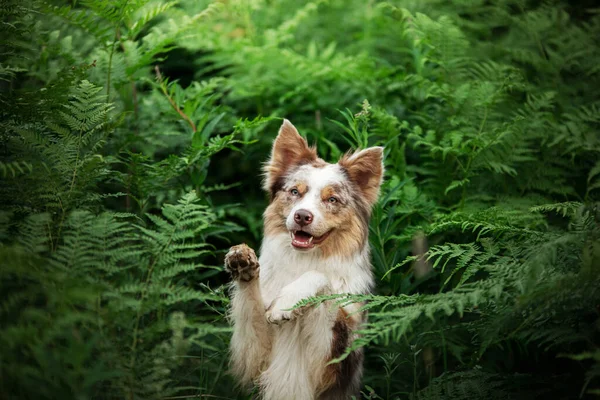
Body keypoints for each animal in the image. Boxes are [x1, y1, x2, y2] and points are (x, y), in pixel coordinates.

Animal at [225, 119, 384, 400]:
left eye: (331, 199)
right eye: (295, 192)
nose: (302, 216)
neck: (305, 259)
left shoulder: (331, 365)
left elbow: (321, 280)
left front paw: (287, 302)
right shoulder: (253, 360)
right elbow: (250, 308)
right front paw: (243, 262)